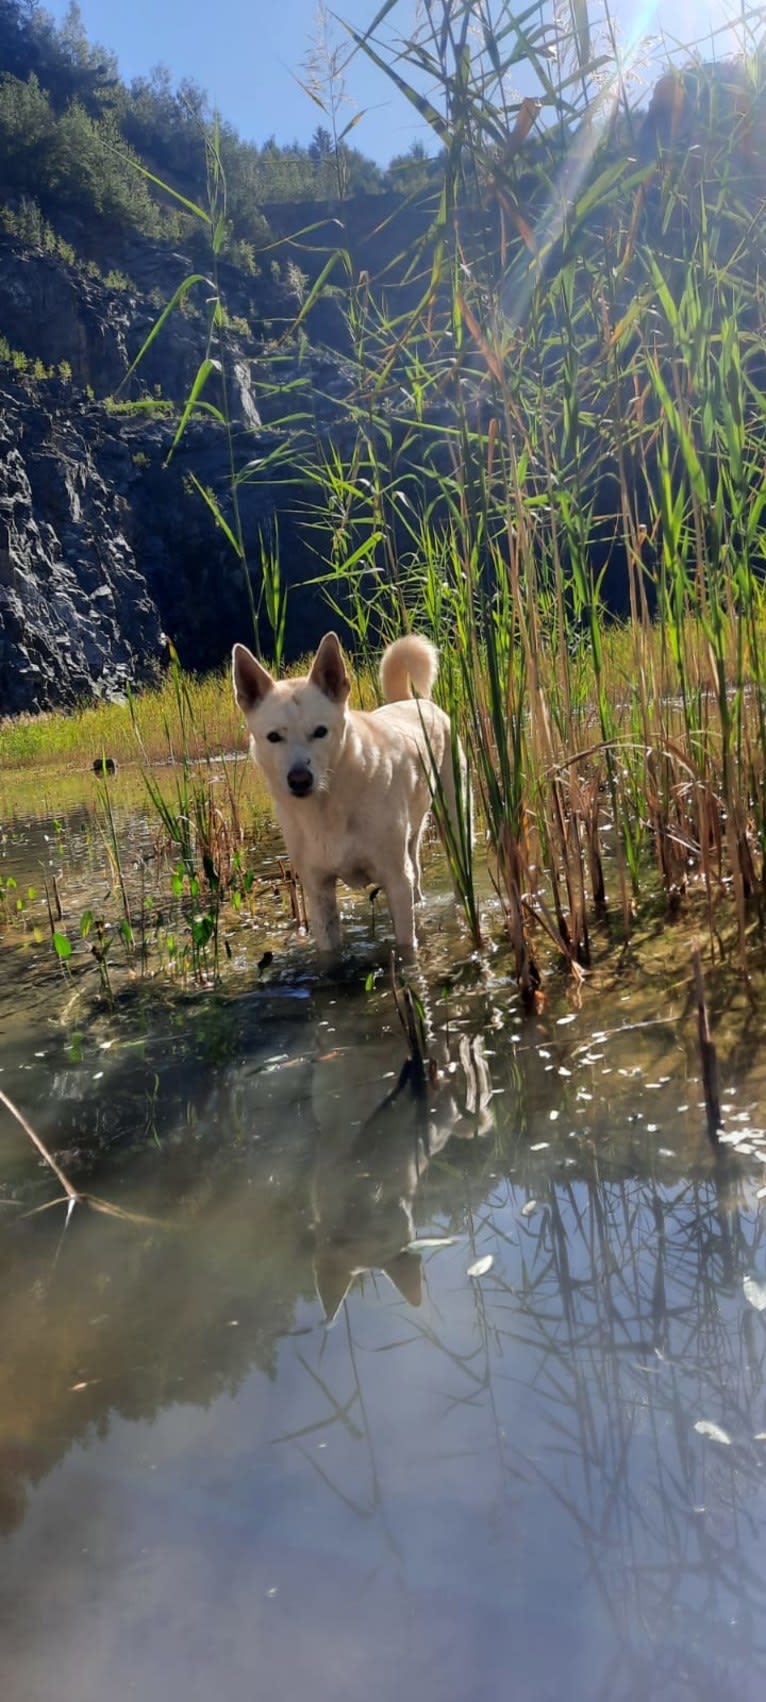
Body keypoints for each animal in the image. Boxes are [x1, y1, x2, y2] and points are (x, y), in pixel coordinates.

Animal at [231, 629, 459, 953]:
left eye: (320, 732)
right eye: (274, 737)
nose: (299, 779)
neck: (327, 809)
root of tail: (410, 701)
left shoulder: (395, 880)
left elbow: (405, 945)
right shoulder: (317, 890)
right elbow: (329, 950)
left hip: (454, 819)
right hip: (411, 840)